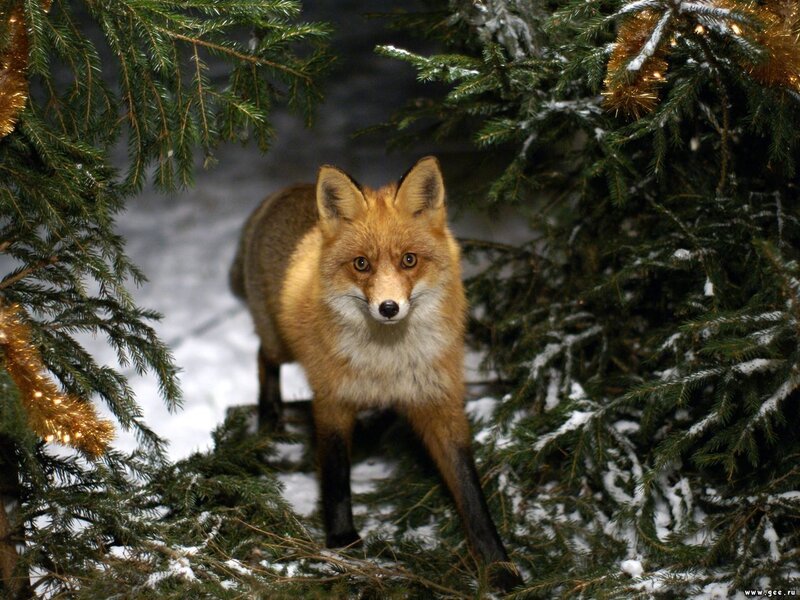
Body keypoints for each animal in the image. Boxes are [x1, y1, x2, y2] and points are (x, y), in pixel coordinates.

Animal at [230, 156, 522, 590]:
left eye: (409, 260)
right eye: (361, 264)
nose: (388, 308)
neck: (388, 364)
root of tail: (284, 192)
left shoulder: (440, 403)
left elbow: (470, 492)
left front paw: (498, 565)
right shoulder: (332, 400)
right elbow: (336, 477)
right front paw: (341, 541)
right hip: (280, 342)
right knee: (263, 357)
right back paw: (269, 420)